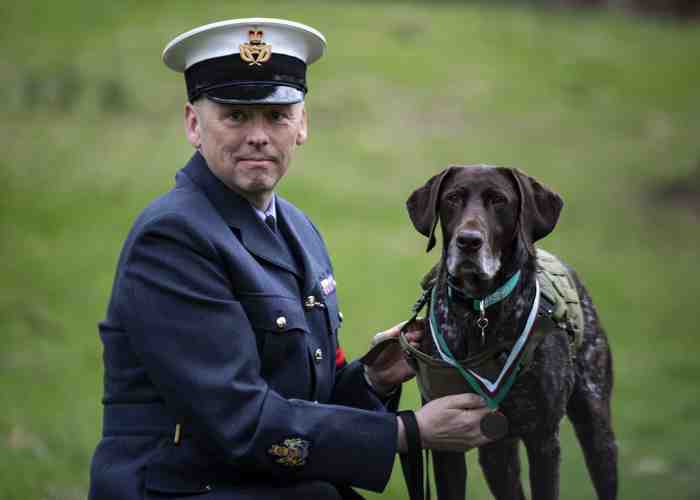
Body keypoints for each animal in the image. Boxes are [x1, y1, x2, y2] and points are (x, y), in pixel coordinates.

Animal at [408, 167, 616, 500]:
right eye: (452, 198)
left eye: (499, 200)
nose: (468, 241)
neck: (480, 309)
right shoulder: (445, 442)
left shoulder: (543, 439)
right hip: (497, 455)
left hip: (596, 428)